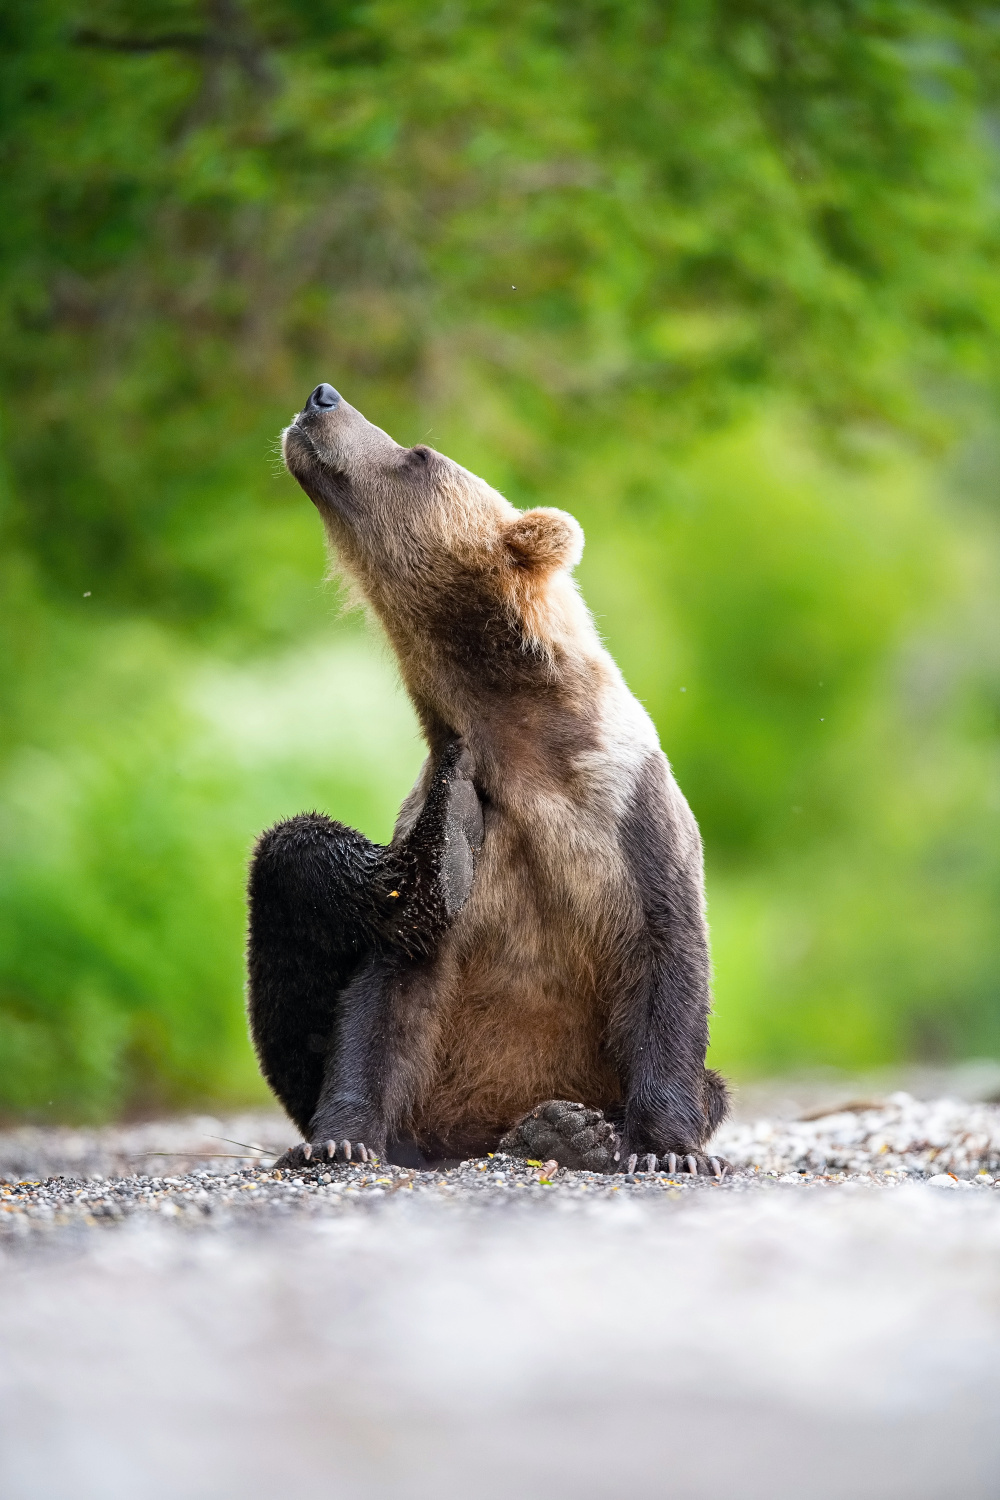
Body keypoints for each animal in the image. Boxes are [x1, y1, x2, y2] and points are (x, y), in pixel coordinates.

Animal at [242, 381, 728, 1176]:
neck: (514, 733)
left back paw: (568, 1129)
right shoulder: (447, 814)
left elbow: (669, 959)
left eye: (420, 455)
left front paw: (667, 1150)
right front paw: (339, 1138)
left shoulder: (629, 813)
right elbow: (381, 998)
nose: (322, 397)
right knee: (293, 864)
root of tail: (472, 1136)